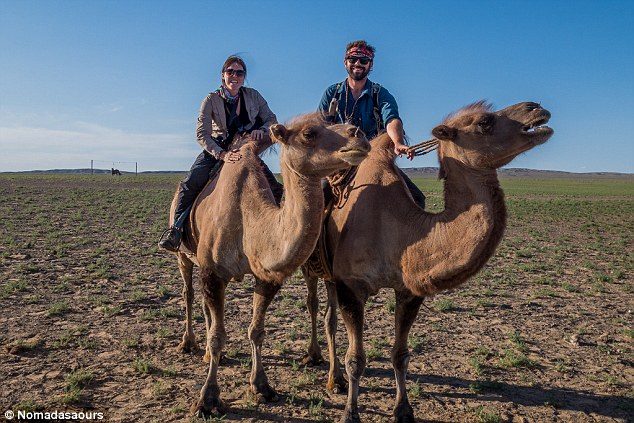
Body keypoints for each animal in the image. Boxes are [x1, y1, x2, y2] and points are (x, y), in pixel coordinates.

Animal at [167, 114, 370, 420]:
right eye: (309, 133)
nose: (359, 135)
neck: (249, 219)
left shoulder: (267, 277)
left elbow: (256, 331)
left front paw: (262, 387)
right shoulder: (213, 272)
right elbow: (217, 336)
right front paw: (207, 400)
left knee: (204, 304)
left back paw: (208, 354)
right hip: (184, 255)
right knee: (189, 294)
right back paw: (188, 344)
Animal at [302, 101, 552, 422]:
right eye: (484, 122)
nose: (537, 109)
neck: (397, 228)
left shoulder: (409, 289)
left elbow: (401, 355)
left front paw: (403, 410)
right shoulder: (352, 286)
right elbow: (356, 359)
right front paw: (350, 413)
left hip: (333, 277)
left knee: (329, 316)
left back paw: (336, 379)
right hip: (314, 267)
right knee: (315, 306)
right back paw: (319, 363)